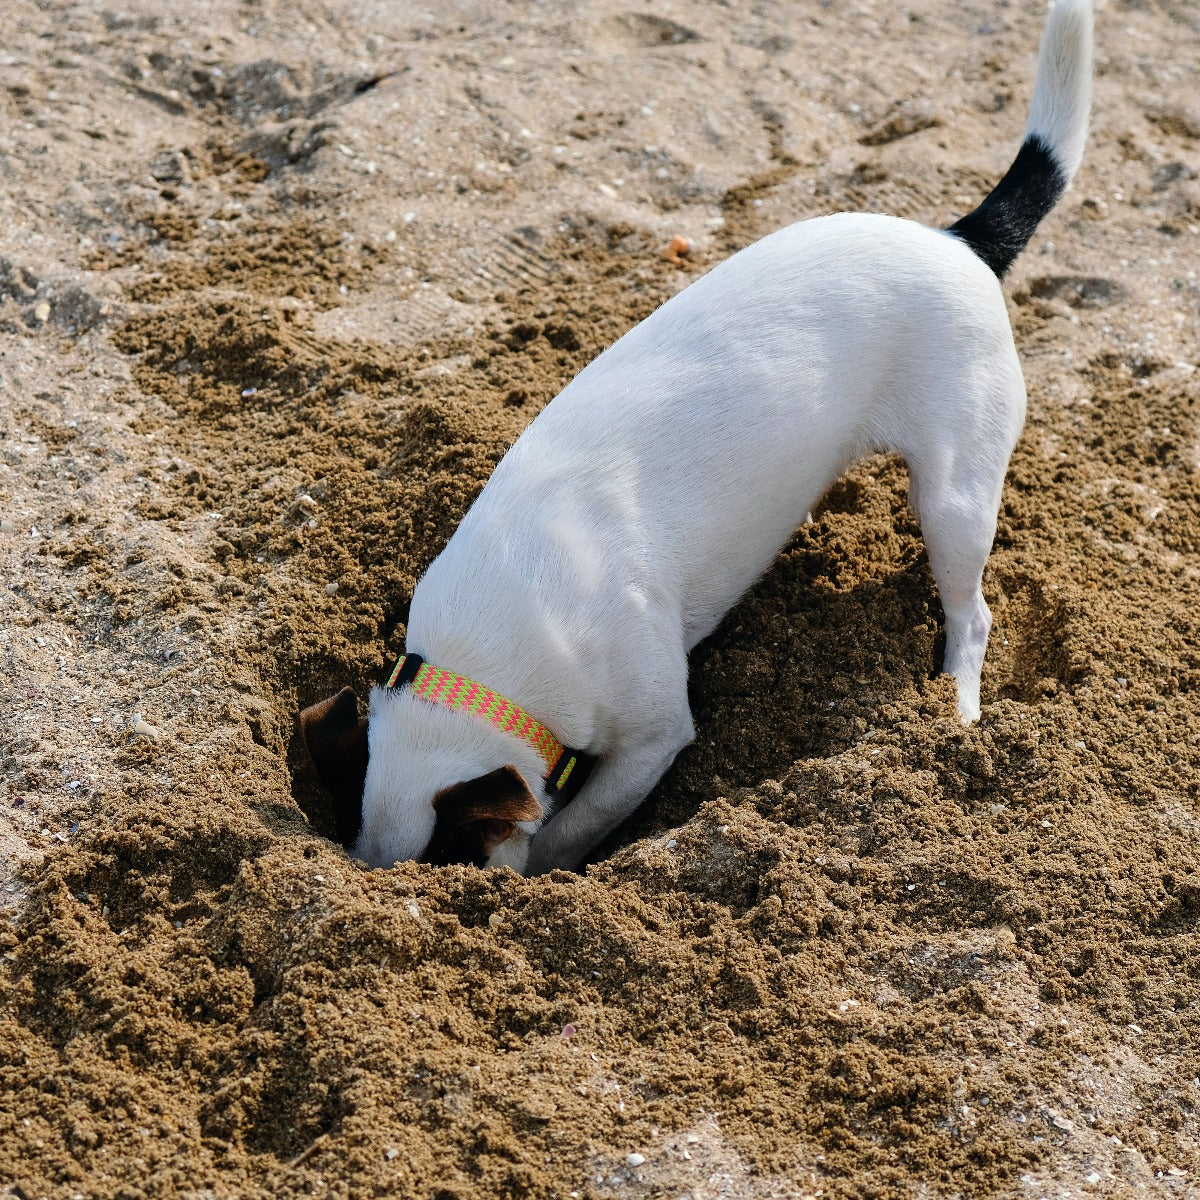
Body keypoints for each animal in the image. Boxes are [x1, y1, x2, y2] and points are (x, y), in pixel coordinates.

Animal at [297, 4, 1089, 878]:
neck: (489, 650)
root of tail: (960, 241)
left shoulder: (651, 736)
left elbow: (577, 824)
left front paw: (554, 868)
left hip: (955, 494)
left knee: (972, 612)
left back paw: (955, 706)